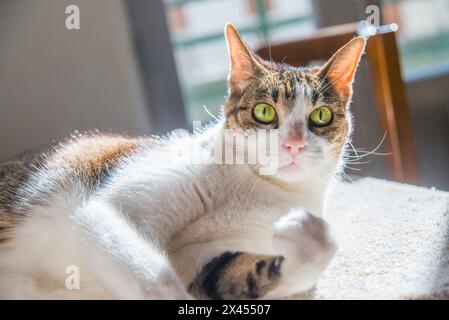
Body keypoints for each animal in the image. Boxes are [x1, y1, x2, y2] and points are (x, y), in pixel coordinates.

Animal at [0, 23, 364, 298]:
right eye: (264, 112)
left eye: (320, 116)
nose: (294, 145)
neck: (254, 187)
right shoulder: (99, 209)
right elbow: (157, 280)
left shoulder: (201, 262)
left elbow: (240, 272)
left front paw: (300, 234)